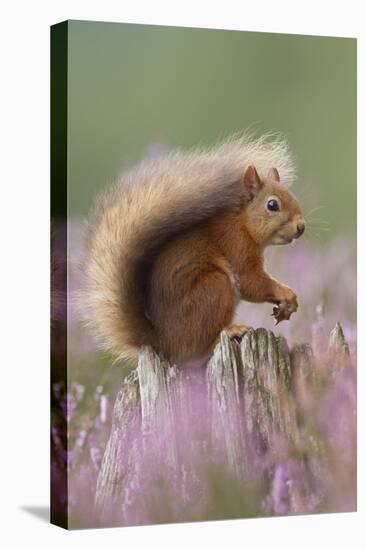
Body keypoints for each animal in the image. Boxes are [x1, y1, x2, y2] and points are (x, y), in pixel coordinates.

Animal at [84, 136, 304, 364]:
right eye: (272, 205)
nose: (301, 227)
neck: (242, 222)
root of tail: (165, 344)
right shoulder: (236, 243)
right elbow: (251, 282)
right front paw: (285, 293)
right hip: (215, 288)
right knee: (199, 349)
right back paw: (230, 331)